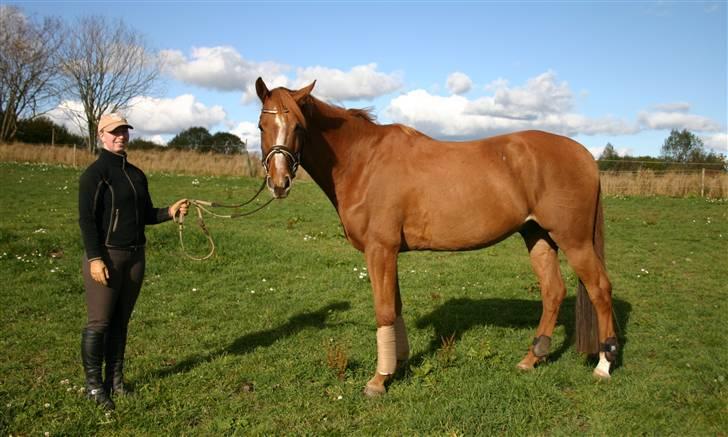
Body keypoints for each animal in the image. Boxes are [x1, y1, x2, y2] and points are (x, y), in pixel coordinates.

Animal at [253, 77, 616, 396]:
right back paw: (531, 359)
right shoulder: (390, 252)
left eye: (298, 127)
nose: (280, 183)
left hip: (574, 240)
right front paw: (397, 364)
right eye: (261, 126)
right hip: (537, 236)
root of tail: (585, 154)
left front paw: (378, 380)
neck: (364, 160)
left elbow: (384, 311)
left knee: (600, 289)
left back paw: (604, 363)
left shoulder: (379, 250)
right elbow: (396, 307)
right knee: (553, 291)